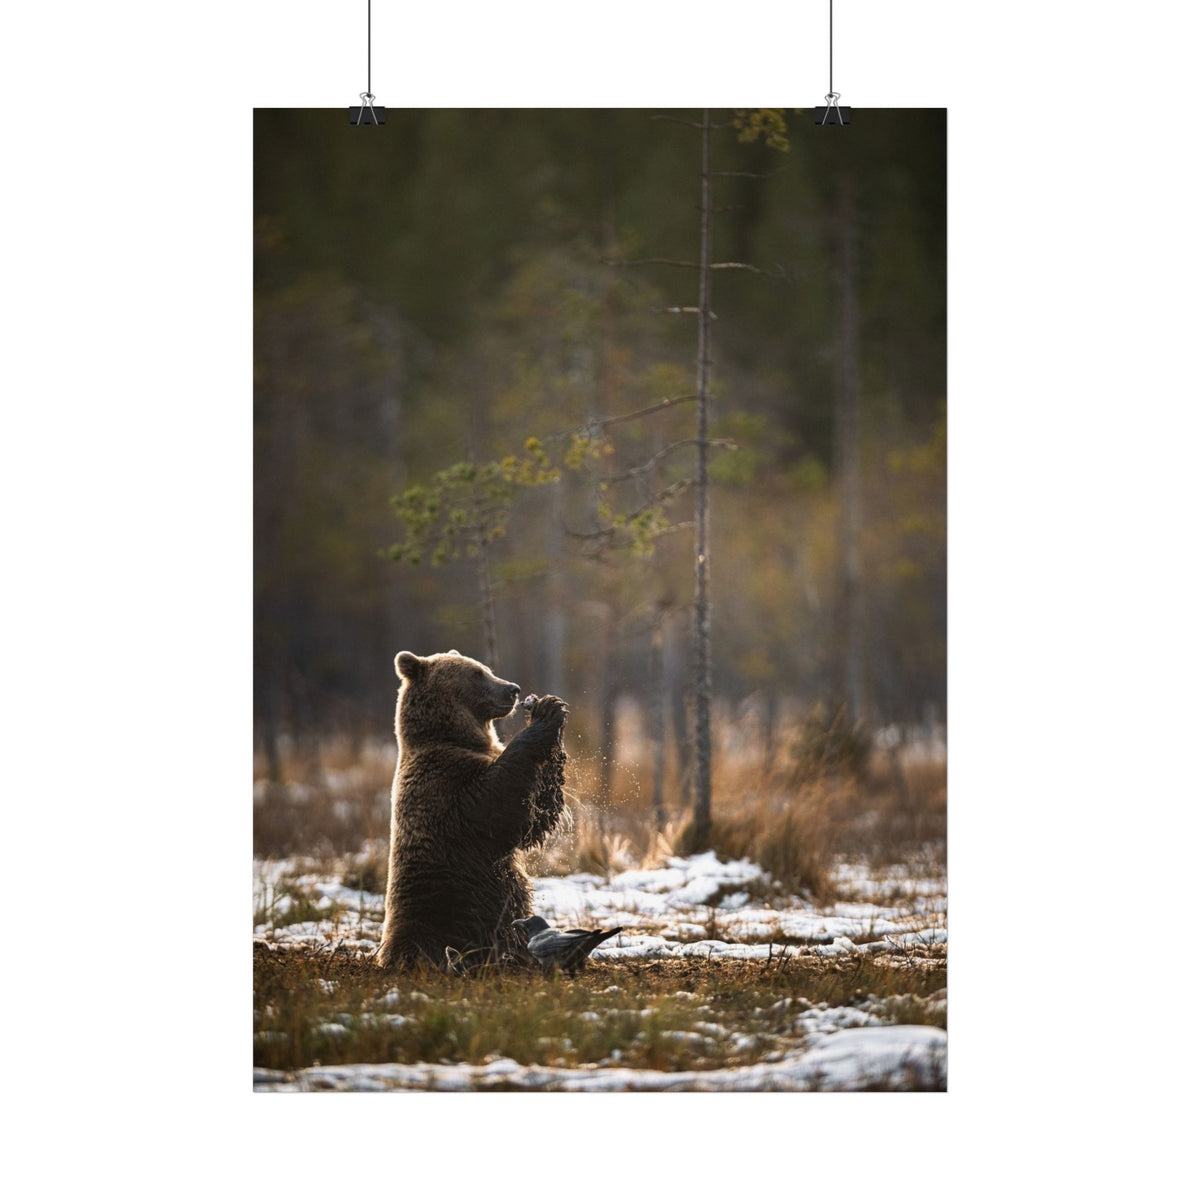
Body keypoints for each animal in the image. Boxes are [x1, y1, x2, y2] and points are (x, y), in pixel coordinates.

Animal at [375, 649, 568, 969]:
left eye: (486, 668)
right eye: (477, 673)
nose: (513, 689)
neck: (452, 736)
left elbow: (533, 816)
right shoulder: (450, 787)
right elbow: (500, 808)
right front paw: (547, 715)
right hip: (444, 912)